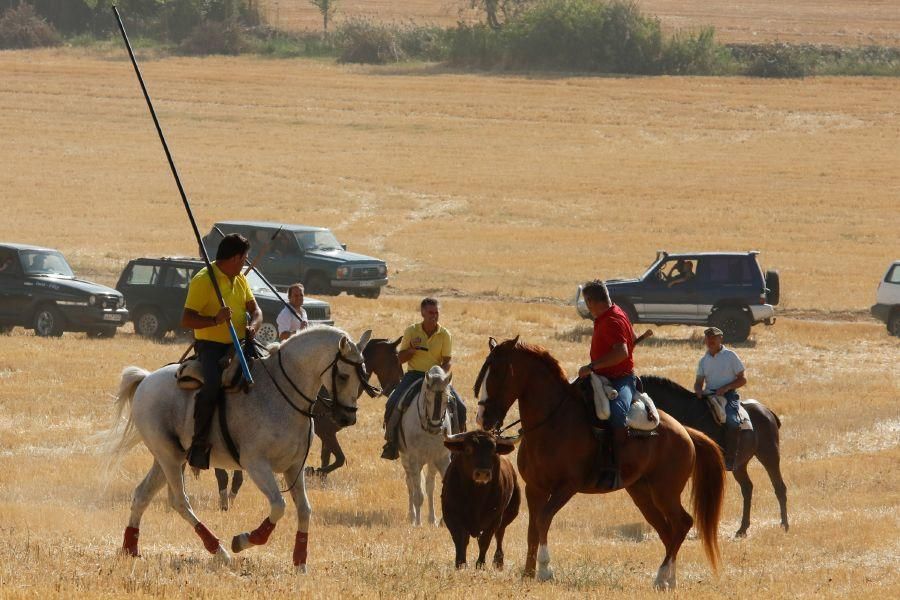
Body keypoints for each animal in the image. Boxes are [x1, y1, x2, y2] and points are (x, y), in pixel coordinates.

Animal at [103, 326, 376, 568]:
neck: (281, 395)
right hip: (168, 456)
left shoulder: (294, 468)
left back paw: (130, 549)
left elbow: (305, 510)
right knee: (180, 501)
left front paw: (300, 563)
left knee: (142, 495)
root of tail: (146, 379)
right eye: (343, 375)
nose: (347, 418)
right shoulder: (256, 465)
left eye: (363, 374)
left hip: (167, 458)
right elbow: (279, 506)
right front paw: (245, 540)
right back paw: (220, 551)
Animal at [400, 366, 454, 524]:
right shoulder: (414, 460)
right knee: (410, 484)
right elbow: (418, 493)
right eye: (427, 398)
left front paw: (441, 521)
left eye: (447, 400)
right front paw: (418, 523)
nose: (435, 426)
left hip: (431, 462)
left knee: (429, 486)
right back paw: (412, 516)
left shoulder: (442, 458)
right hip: (405, 459)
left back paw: (432, 519)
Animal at [442, 432, 520, 568]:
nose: (483, 473)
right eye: (468, 449)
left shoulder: (495, 518)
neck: (476, 495)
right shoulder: (451, 514)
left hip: (509, 515)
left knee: (500, 534)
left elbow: (485, 540)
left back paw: (498, 560)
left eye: (494, 450)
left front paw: (480, 564)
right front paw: (460, 563)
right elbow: (460, 538)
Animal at [478, 338, 724, 592]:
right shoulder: (535, 488)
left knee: (682, 524)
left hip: (665, 492)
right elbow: (532, 529)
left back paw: (661, 577)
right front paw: (528, 573)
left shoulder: (567, 487)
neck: (553, 422)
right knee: (669, 531)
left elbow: (543, 519)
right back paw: (668, 580)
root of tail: (685, 431)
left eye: (498, 373)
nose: (482, 418)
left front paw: (545, 570)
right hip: (642, 493)